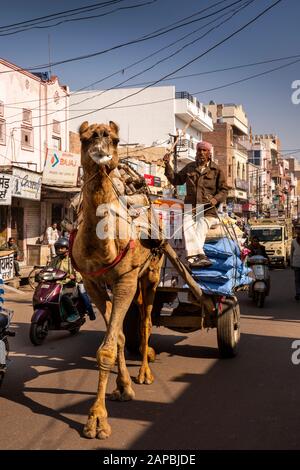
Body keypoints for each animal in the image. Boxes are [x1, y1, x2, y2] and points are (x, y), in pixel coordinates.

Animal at [71, 119, 163, 438]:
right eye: (85, 138)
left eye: (115, 138)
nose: (100, 137)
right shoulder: (93, 283)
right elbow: (117, 337)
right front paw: (121, 390)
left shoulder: (126, 279)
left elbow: (108, 348)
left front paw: (96, 419)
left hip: (151, 274)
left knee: (146, 320)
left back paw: (145, 373)